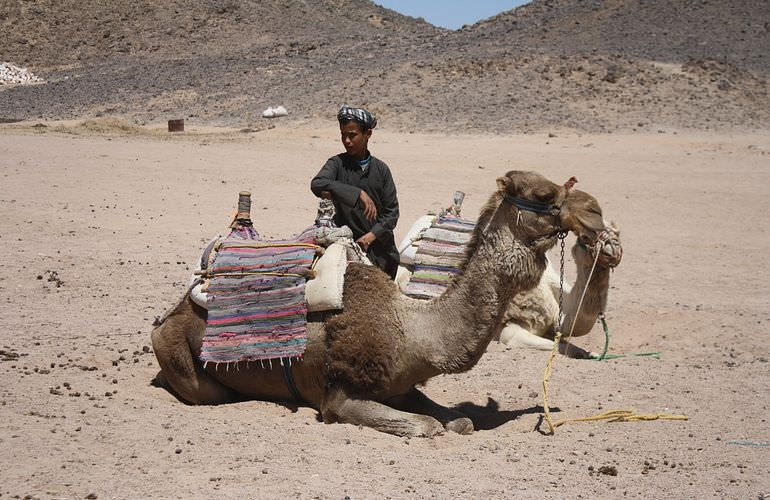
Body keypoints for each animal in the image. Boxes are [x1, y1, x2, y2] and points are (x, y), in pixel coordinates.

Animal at [152, 170, 612, 436]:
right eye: (544, 193)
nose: (595, 211)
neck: (413, 331)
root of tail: (167, 316)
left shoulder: (404, 386)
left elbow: (457, 420)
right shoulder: (337, 398)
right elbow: (428, 427)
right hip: (182, 362)